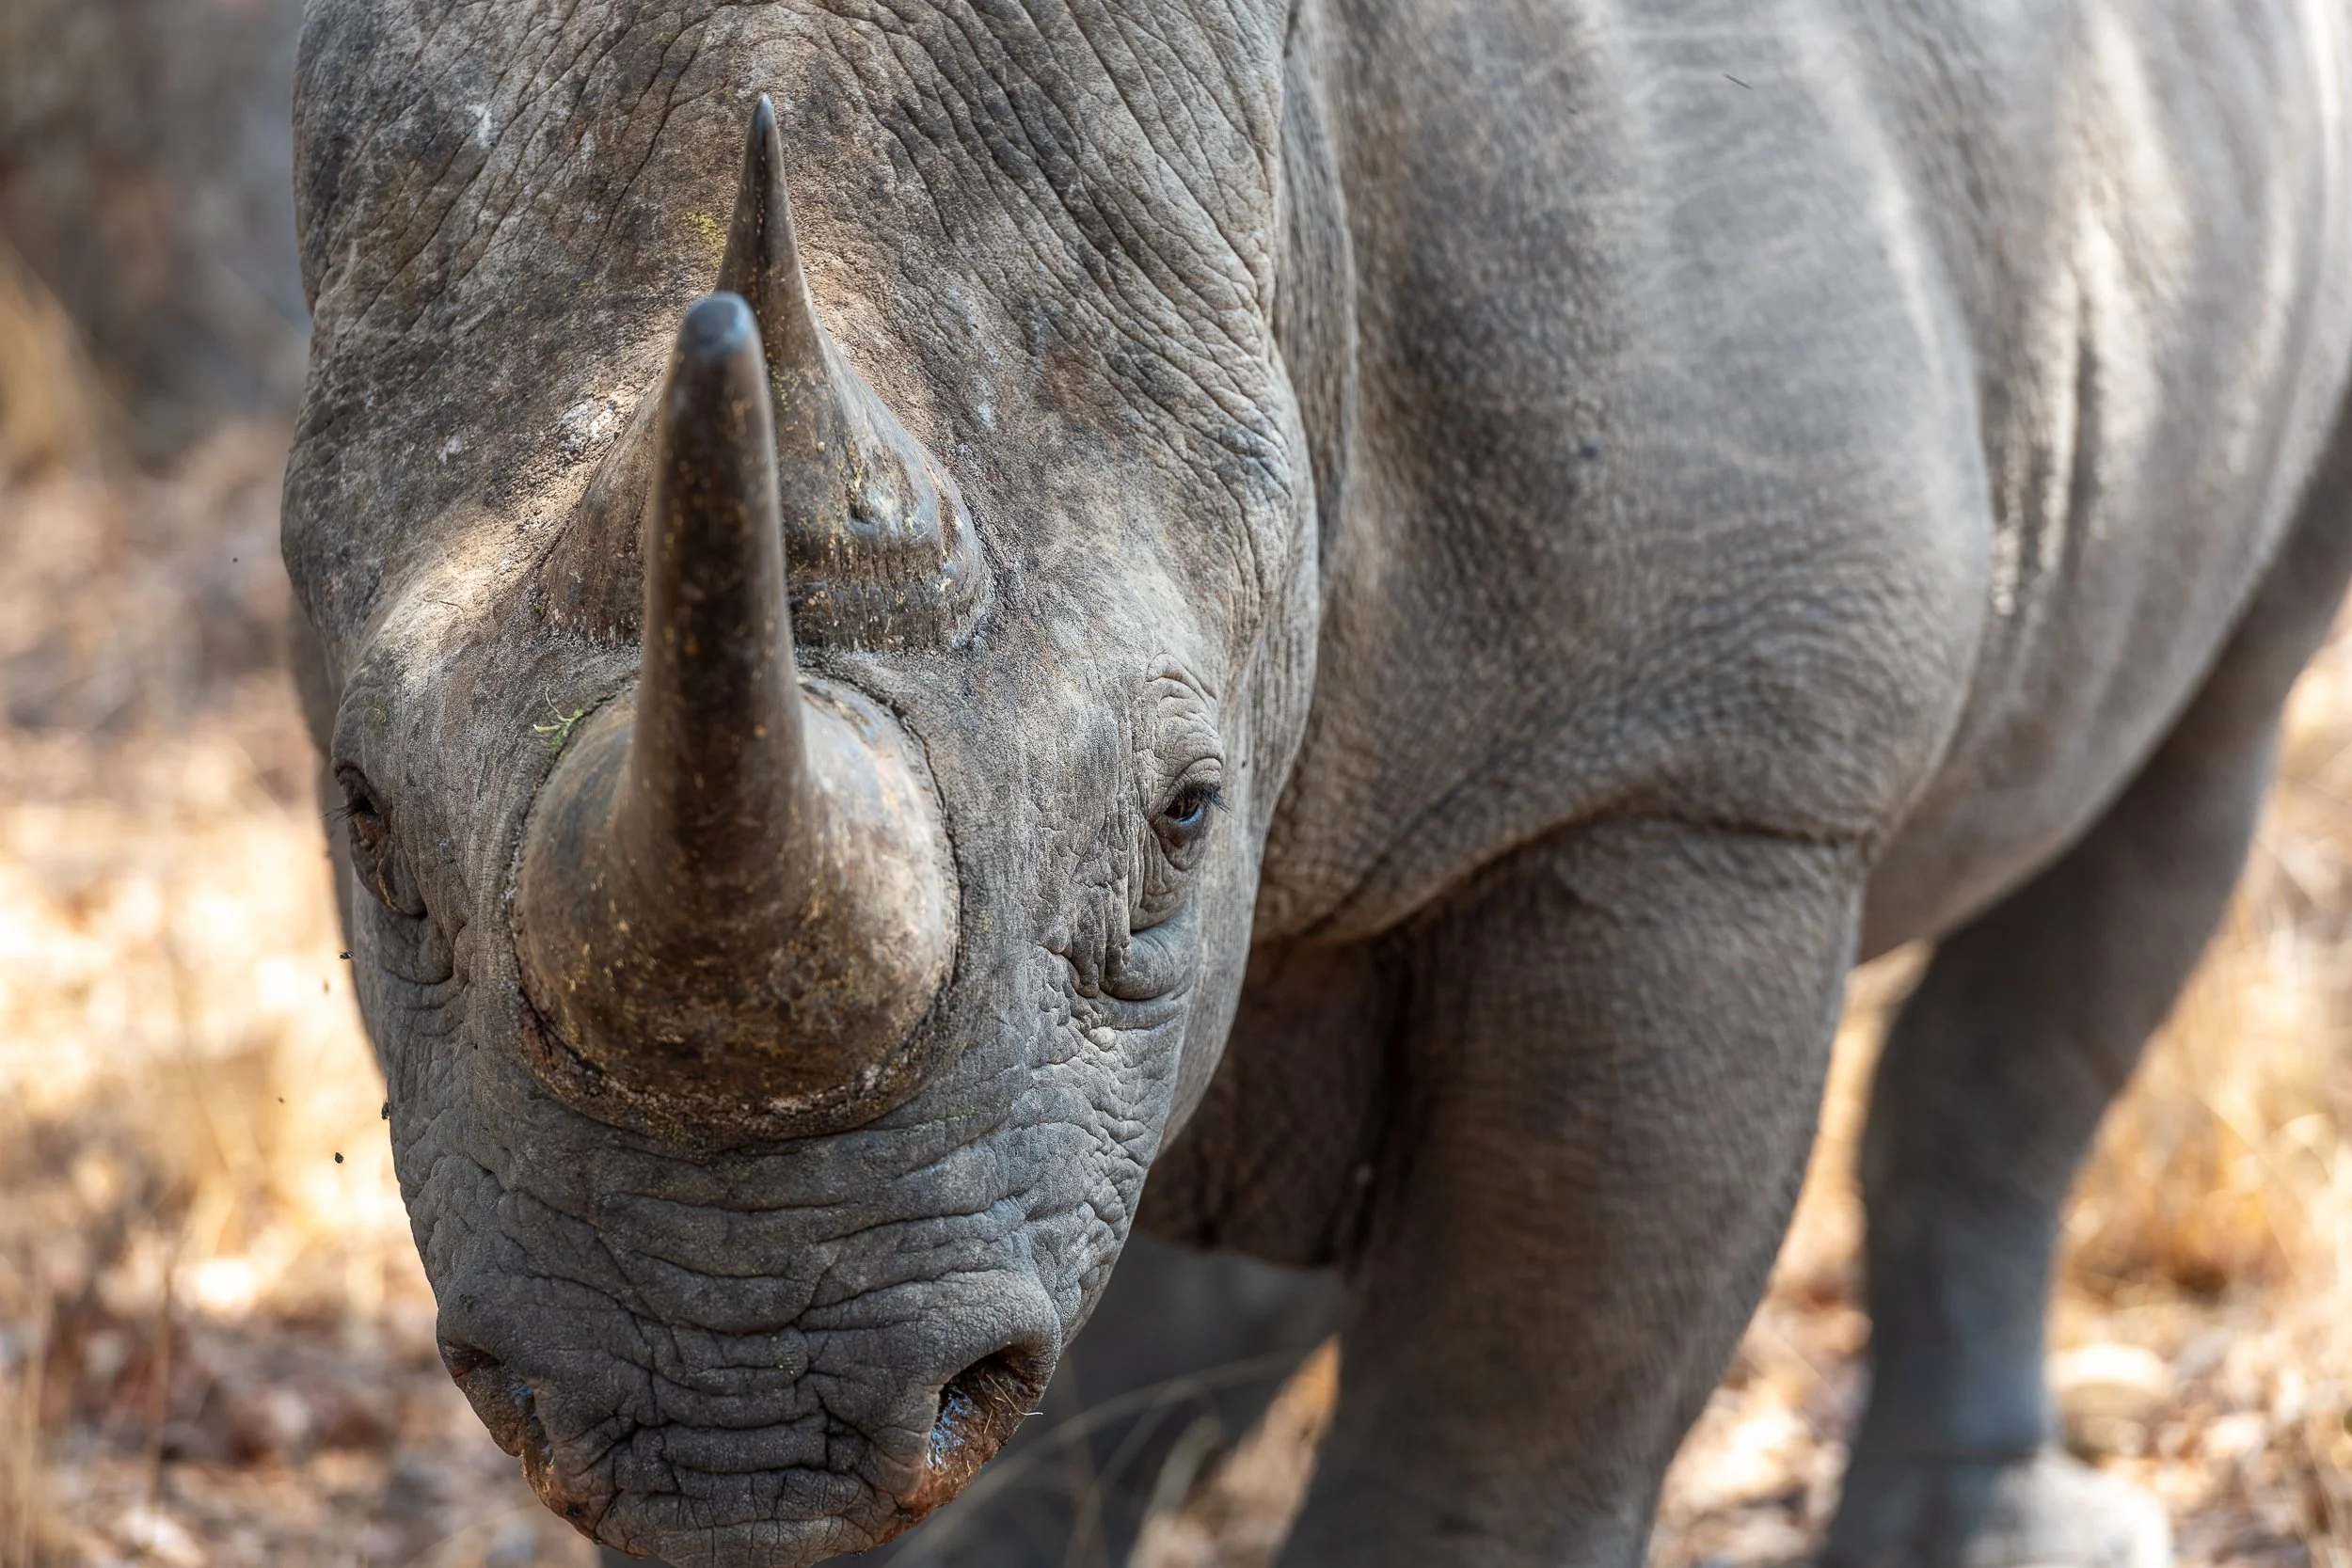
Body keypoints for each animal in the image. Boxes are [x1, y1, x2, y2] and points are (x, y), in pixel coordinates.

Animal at [281, 0, 2352, 1563]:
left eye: (1183, 815)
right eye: (366, 820)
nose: (739, 1422)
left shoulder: (1696, 782)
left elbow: (1501, 1421)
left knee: (2183, 768)